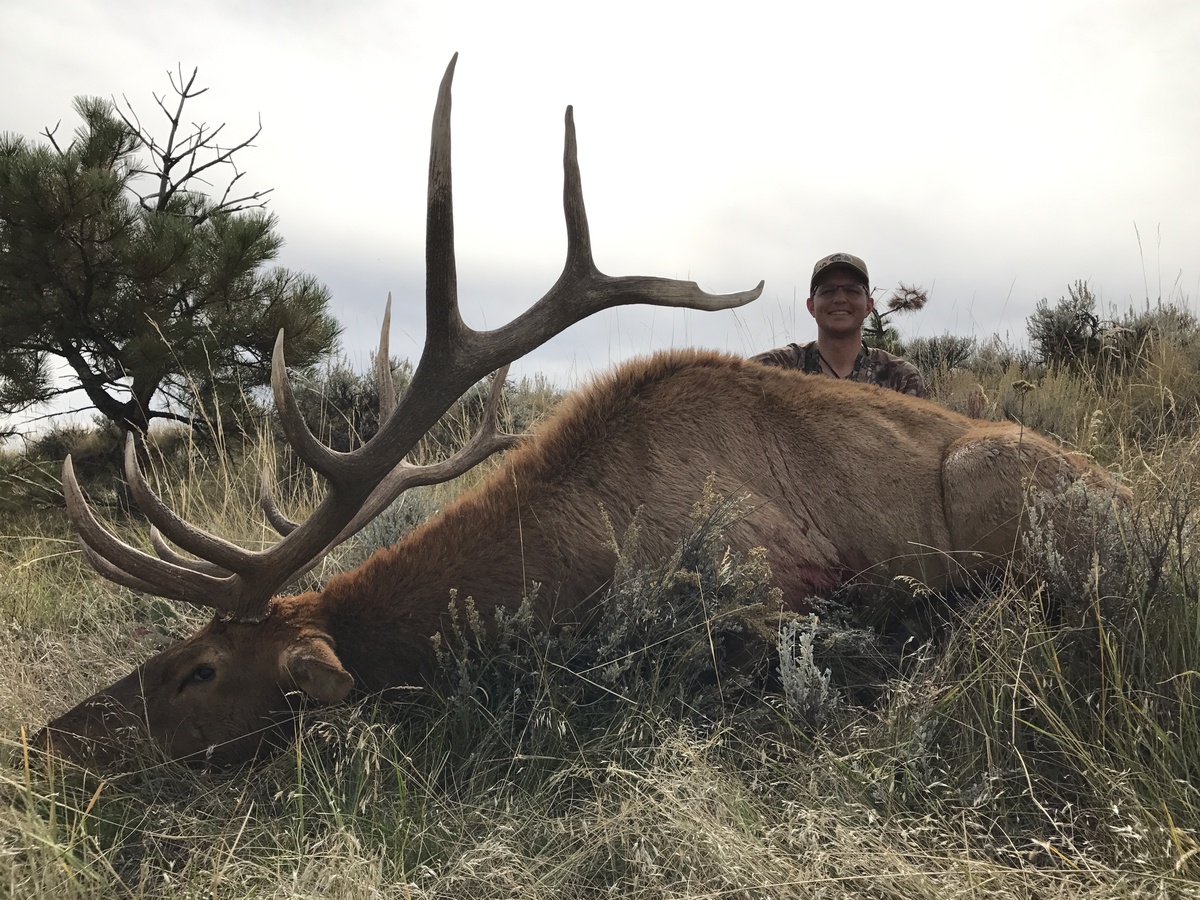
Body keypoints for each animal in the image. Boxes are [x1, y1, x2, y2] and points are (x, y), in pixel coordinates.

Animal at [36, 56, 1128, 768]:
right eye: (165, 655)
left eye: (200, 671)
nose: (52, 739)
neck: (587, 549)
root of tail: (1142, 514)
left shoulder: (767, 592)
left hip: (992, 484)